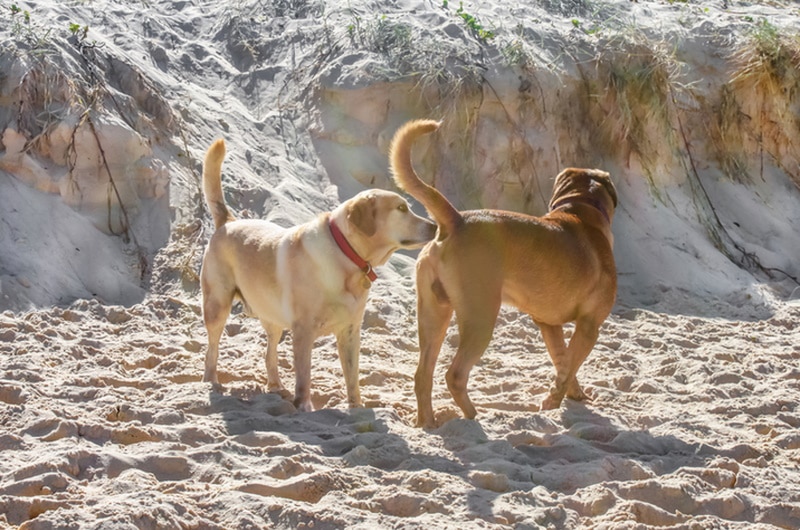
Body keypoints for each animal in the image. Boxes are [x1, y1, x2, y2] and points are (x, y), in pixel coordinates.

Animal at [200, 138, 438, 410]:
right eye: (401, 208)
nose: (435, 226)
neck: (345, 255)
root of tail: (228, 221)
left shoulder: (350, 331)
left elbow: (352, 376)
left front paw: (357, 408)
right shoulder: (303, 331)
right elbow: (304, 375)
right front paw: (304, 406)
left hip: (272, 317)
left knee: (269, 353)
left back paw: (275, 386)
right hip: (217, 306)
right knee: (212, 349)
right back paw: (211, 381)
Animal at [390, 119, 616, 424]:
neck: (580, 209)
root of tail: (457, 220)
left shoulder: (549, 324)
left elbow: (563, 363)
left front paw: (570, 395)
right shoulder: (590, 326)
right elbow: (569, 366)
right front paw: (554, 401)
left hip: (433, 315)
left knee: (422, 375)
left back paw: (428, 422)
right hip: (481, 318)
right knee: (455, 375)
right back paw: (474, 416)